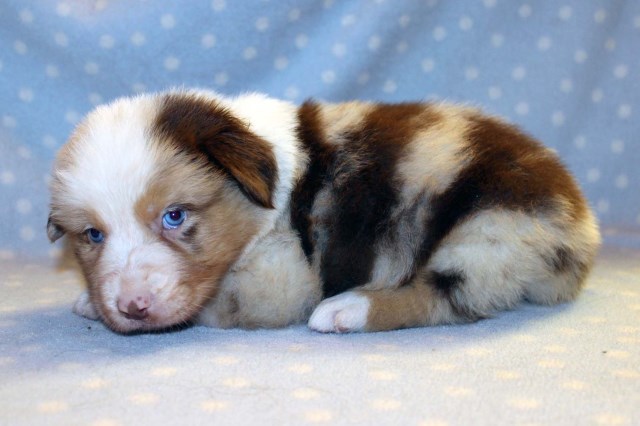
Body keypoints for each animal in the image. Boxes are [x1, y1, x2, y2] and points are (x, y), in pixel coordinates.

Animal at [47, 91, 604, 334]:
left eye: (175, 216)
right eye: (92, 235)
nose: (132, 306)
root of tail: (581, 224)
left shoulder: (280, 278)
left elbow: (214, 302)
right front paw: (90, 300)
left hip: (490, 232)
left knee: (442, 296)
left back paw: (347, 310)